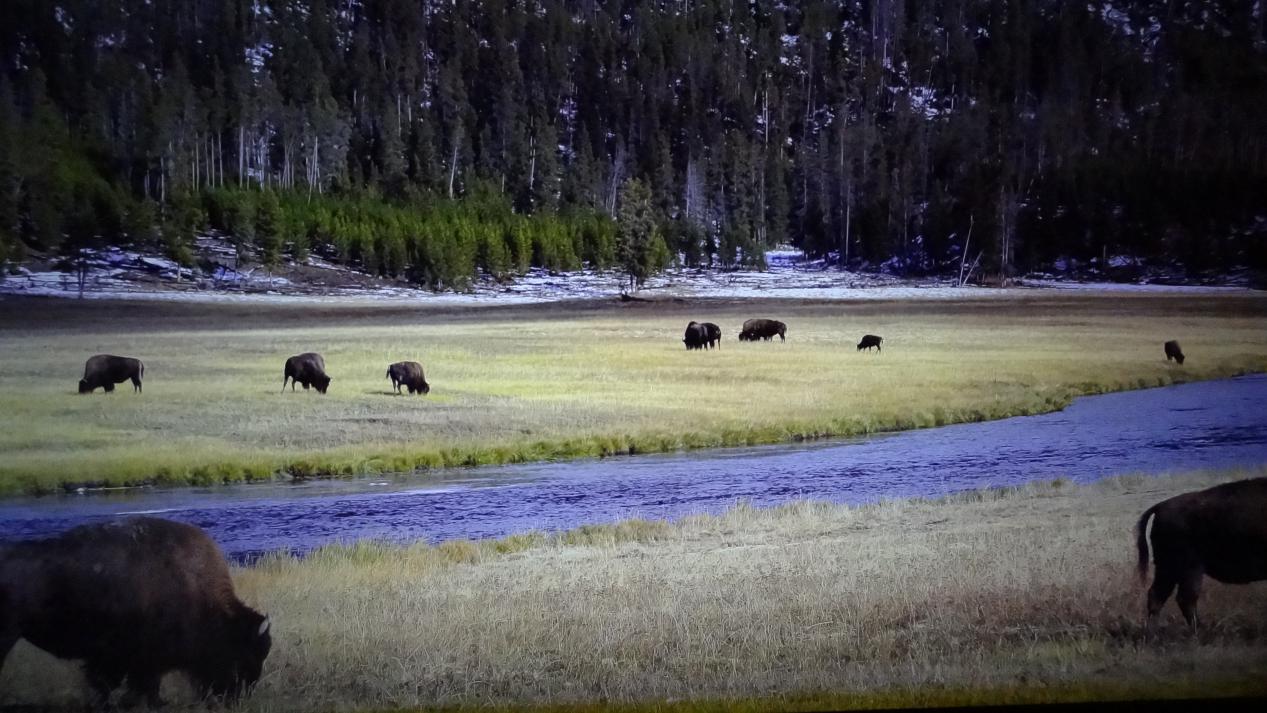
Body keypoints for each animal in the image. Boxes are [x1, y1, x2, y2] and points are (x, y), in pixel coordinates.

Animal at [1135, 478, 1267, 630]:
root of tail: (1160, 507)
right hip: (1187, 568)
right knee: (1184, 598)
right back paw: (1200, 629)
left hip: (1168, 569)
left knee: (1158, 595)